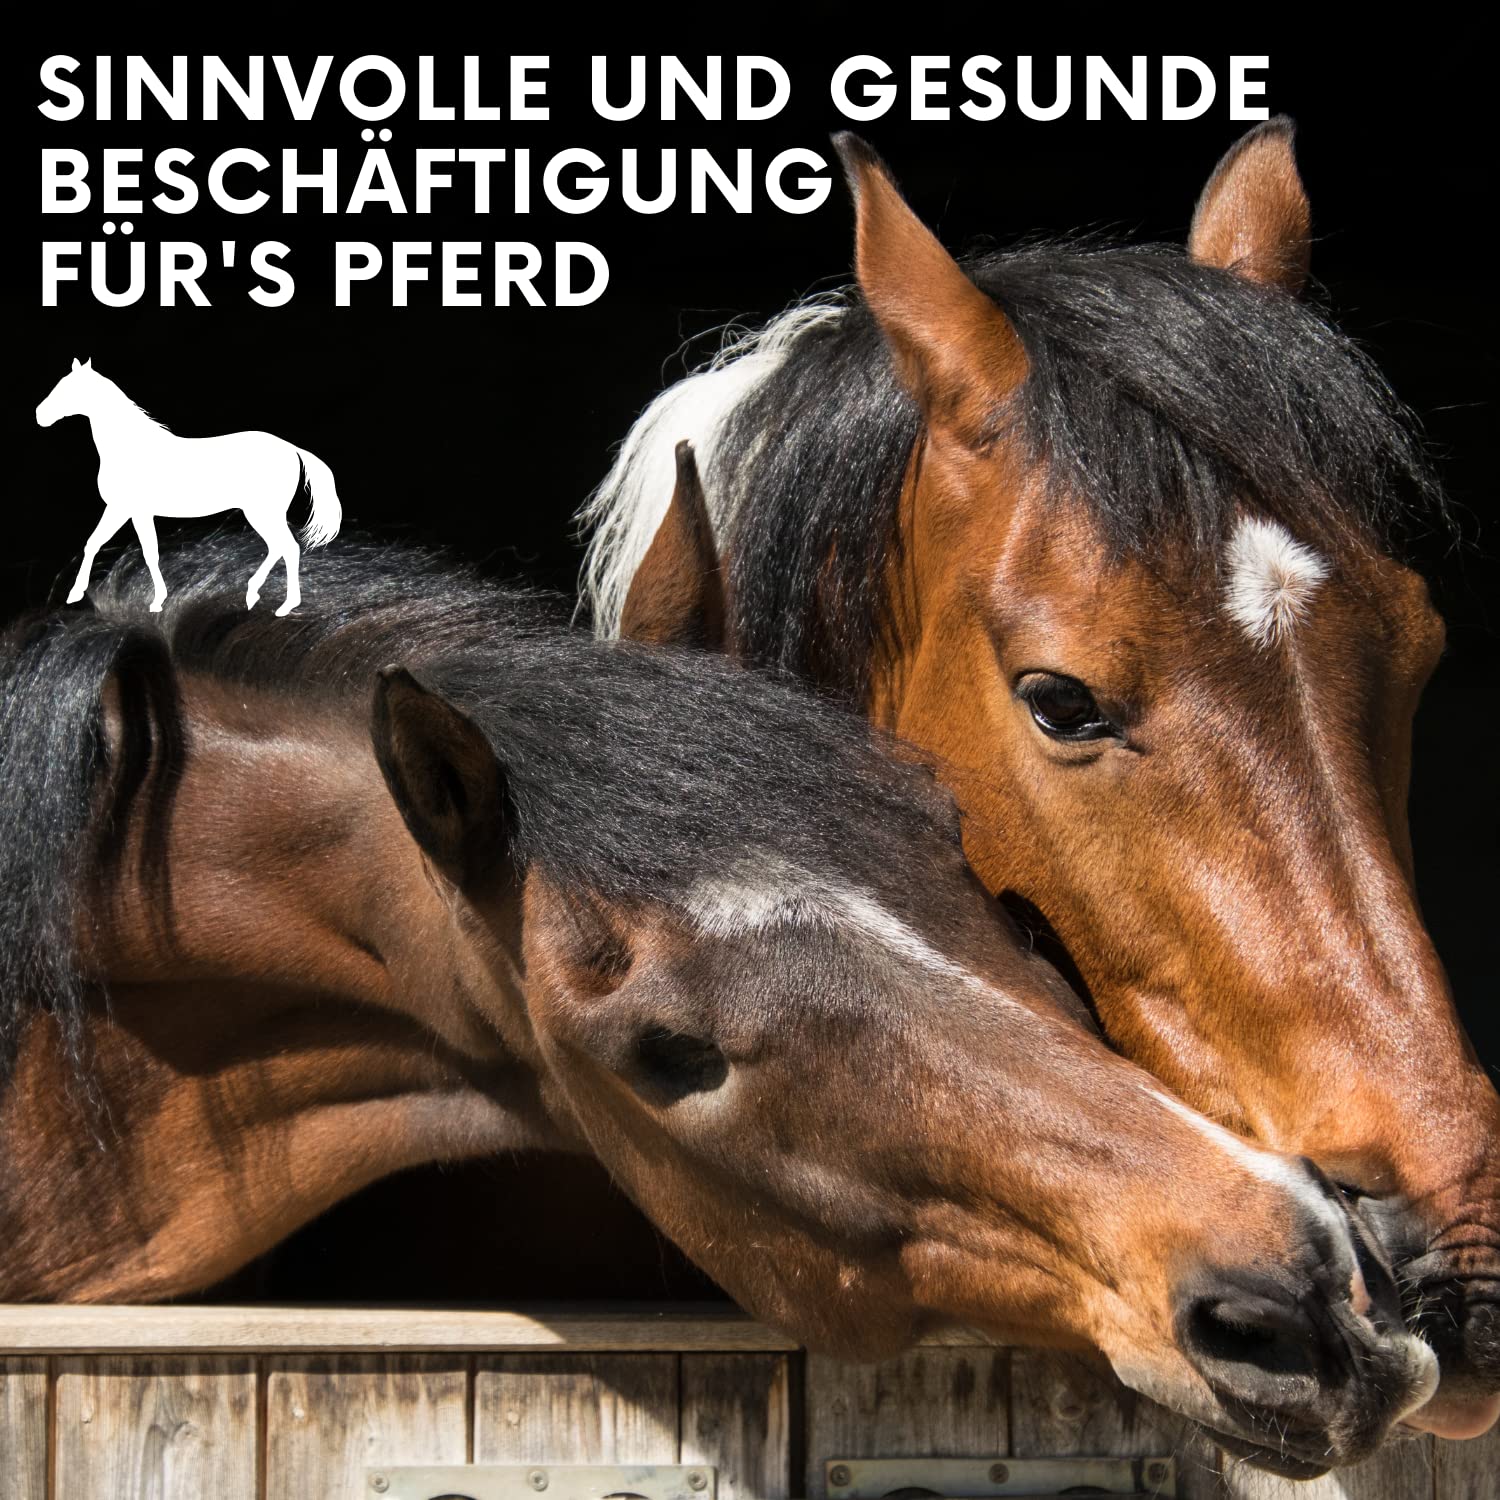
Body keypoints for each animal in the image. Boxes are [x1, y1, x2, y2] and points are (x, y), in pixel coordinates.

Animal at [34, 358, 342, 616]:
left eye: (68, 390)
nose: (39, 415)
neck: (131, 448)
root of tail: (290, 447)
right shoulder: (125, 511)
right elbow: (105, 544)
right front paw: (78, 594)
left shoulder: (130, 511)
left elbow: (139, 551)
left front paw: (155, 601)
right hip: (264, 514)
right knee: (278, 547)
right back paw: (252, 594)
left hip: (263, 513)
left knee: (288, 548)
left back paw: (286, 606)